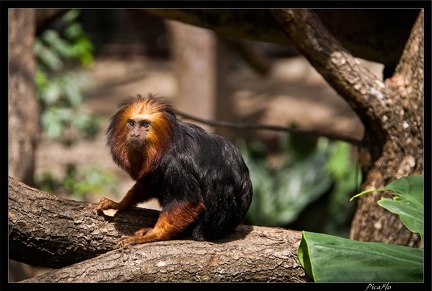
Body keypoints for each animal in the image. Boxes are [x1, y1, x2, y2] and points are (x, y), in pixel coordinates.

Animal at [97, 94, 253, 249]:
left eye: (145, 124)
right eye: (131, 123)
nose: (134, 134)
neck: (163, 145)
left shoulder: (176, 165)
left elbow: (187, 201)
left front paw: (154, 234)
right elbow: (146, 186)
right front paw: (119, 204)